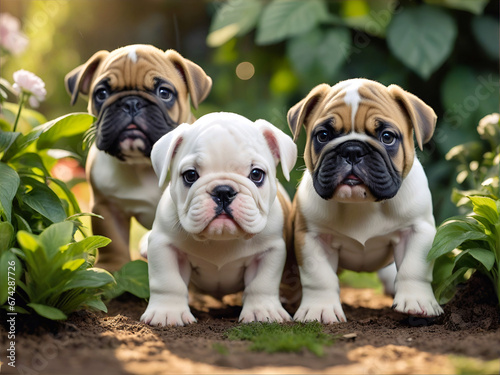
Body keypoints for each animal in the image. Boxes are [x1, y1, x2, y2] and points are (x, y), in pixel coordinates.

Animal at [64, 45, 211, 272]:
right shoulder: (107, 207)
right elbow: (112, 241)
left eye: (164, 93)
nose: (131, 102)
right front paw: (111, 266)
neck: (143, 164)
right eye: (101, 93)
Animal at [140, 111, 296, 326]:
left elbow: (262, 283)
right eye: (190, 175)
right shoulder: (164, 244)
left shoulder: (270, 250)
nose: (223, 191)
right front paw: (167, 312)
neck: (221, 239)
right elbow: (168, 280)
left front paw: (263, 311)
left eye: (256, 174)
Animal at [288, 78, 444, 324]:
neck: (362, 204)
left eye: (387, 137)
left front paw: (417, 302)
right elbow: (319, 276)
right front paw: (319, 309)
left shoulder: (417, 229)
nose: (352, 149)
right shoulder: (311, 237)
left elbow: (414, 268)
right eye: (323, 135)